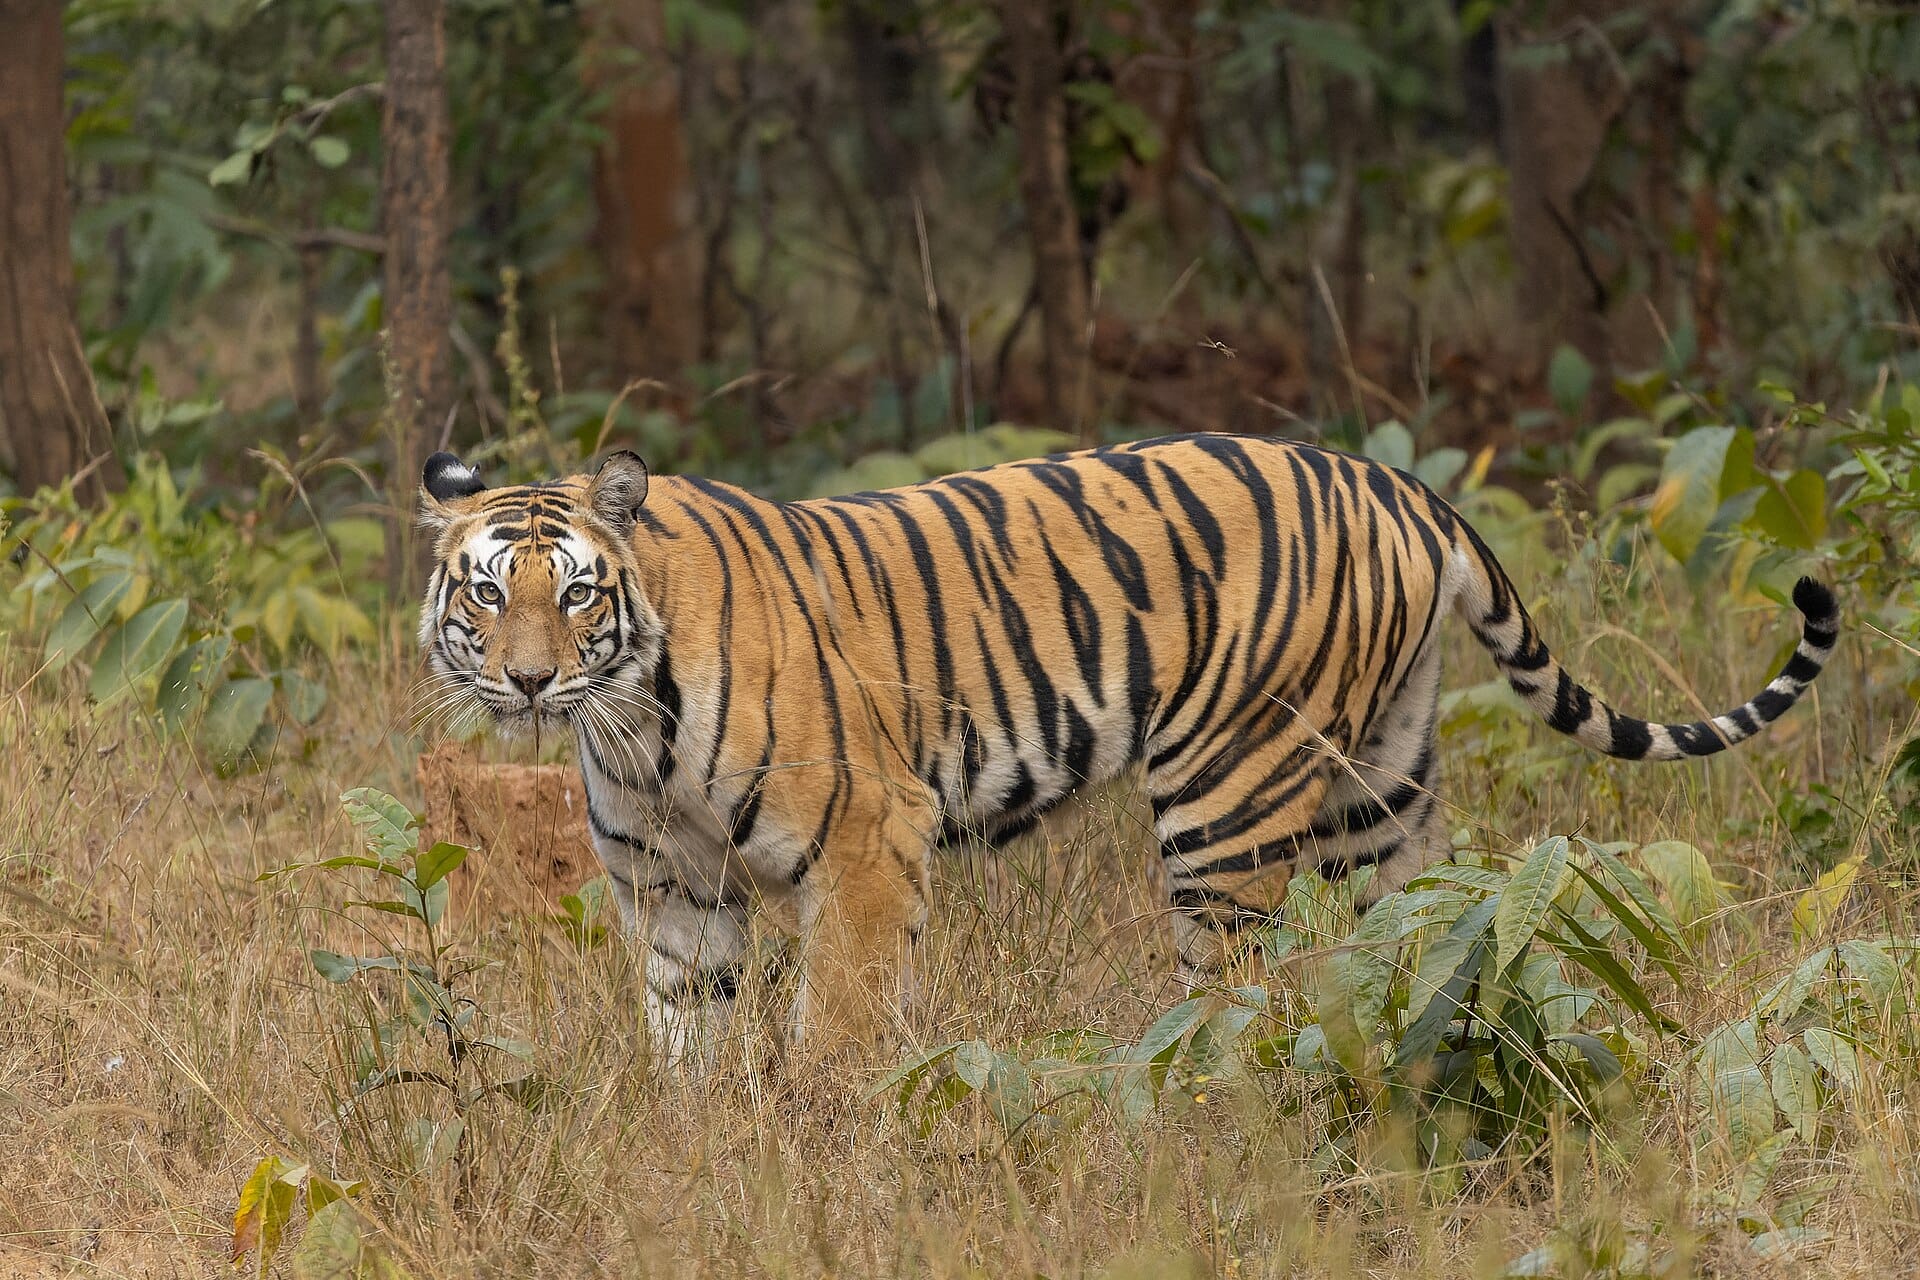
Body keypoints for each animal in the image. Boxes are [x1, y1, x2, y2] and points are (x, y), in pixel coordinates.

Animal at [416, 433, 1838, 1058]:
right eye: (487, 591)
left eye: (576, 593)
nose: (529, 679)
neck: (630, 721)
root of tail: (1393, 479)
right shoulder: (676, 893)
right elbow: (687, 1056)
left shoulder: (868, 844)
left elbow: (838, 1031)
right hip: (1384, 785)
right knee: (1427, 930)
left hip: (1229, 798)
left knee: (1233, 995)